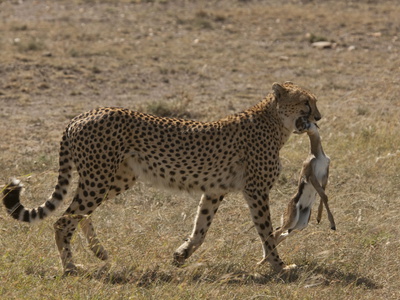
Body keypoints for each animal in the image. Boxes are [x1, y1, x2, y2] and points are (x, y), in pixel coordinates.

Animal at [2, 82, 322, 274]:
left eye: (314, 102)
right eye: (305, 102)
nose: (318, 118)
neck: (275, 121)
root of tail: (82, 114)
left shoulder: (214, 190)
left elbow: (201, 229)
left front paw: (181, 255)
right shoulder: (255, 191)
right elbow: (266, 232)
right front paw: (279, 267)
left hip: (114, 178)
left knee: (78, 215)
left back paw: (99, 252)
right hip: (99, 177)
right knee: (63, 220)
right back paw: (70, 267)